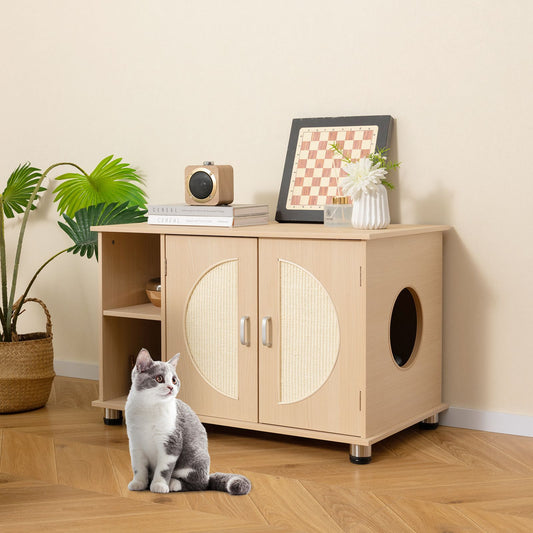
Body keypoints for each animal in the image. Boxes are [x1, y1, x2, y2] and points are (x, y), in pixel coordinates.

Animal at [124, 350, 251, 494]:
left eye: (174, 380)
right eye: (159, 378)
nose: (171, 387)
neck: (150, 409)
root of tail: (207, 476)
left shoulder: (172, 441)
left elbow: (164, 468)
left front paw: (159, 485)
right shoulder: (135, 442)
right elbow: (139, 467)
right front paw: (138, 483)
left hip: (196, 459)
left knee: (200, 484)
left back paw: (174, 483)